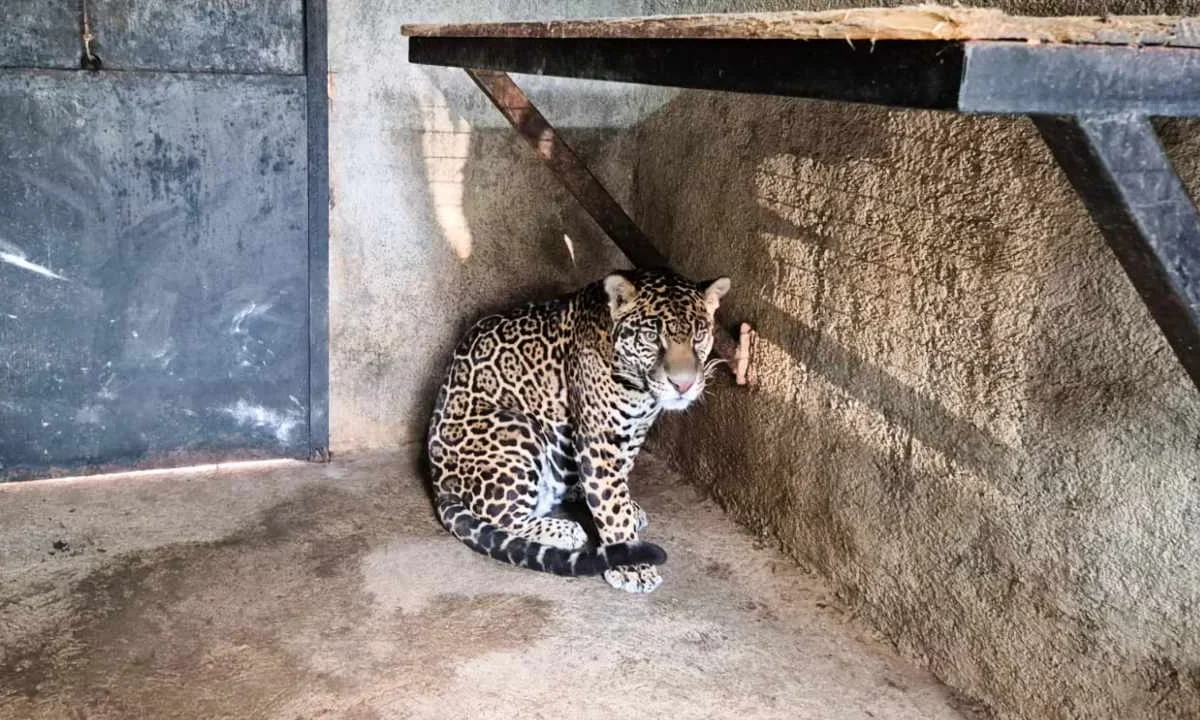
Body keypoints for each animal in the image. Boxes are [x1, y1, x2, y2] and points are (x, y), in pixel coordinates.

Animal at [426, 268, 730, 593]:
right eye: (650, 337)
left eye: (699, 335)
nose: (683, 385)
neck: (640, 389)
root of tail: (439, 485)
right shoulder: (599, 440)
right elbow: (611, 502)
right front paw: (632, 566)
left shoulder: (633, 432)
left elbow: (618, 481)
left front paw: (626, 510)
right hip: (517, 426)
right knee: (501, 516)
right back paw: (564, 529)